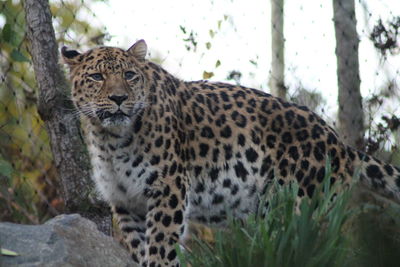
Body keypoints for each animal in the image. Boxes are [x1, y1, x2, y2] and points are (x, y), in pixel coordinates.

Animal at [61, 39, 400, 267]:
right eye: (97, 77)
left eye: (130, 75)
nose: (119, 98)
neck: (111, 140)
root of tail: (341, 144)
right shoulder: (125, 202)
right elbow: (139, 246)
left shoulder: (167, 189)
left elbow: (160, 245)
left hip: (293, 207)